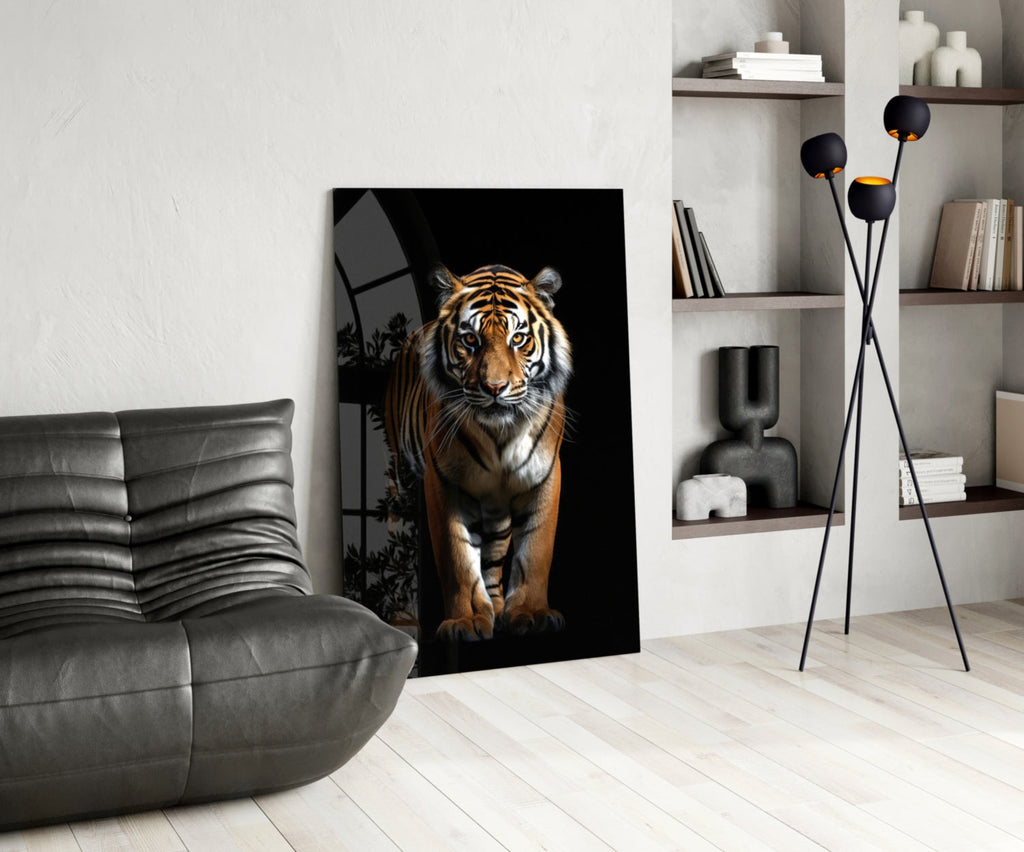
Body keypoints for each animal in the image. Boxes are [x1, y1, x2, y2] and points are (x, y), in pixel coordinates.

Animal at [384, 263, 572, 642]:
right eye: (470, 340)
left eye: (518, 339)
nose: (494, 387)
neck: (501, 434)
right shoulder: (443, 482)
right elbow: (457, 556)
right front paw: (466, 620)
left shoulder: (544, 475)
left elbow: (535, 550)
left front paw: (531, 613)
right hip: (402, 481)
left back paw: (498, 608)